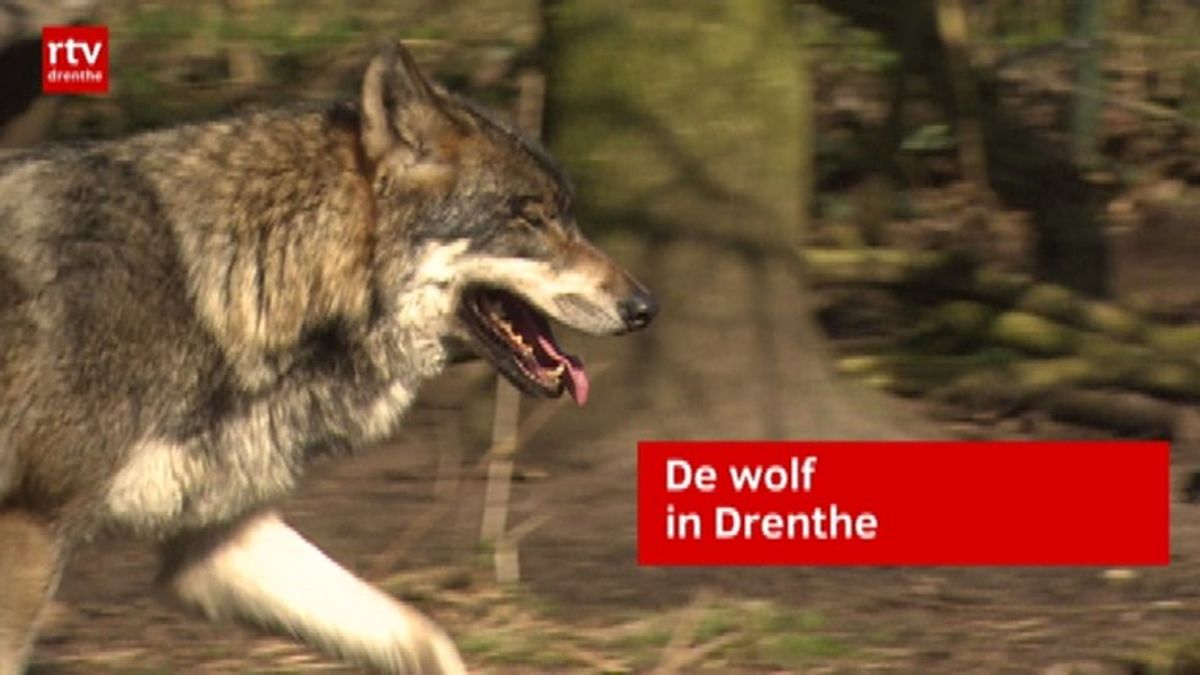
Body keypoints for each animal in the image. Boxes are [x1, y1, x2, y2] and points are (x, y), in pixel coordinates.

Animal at [0, 41, 657, 674]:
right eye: (530, 217)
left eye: (568, 214)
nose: (645, 307)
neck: (214, 285)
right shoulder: (31, 529)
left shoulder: (215, 543)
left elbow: (427, 638)